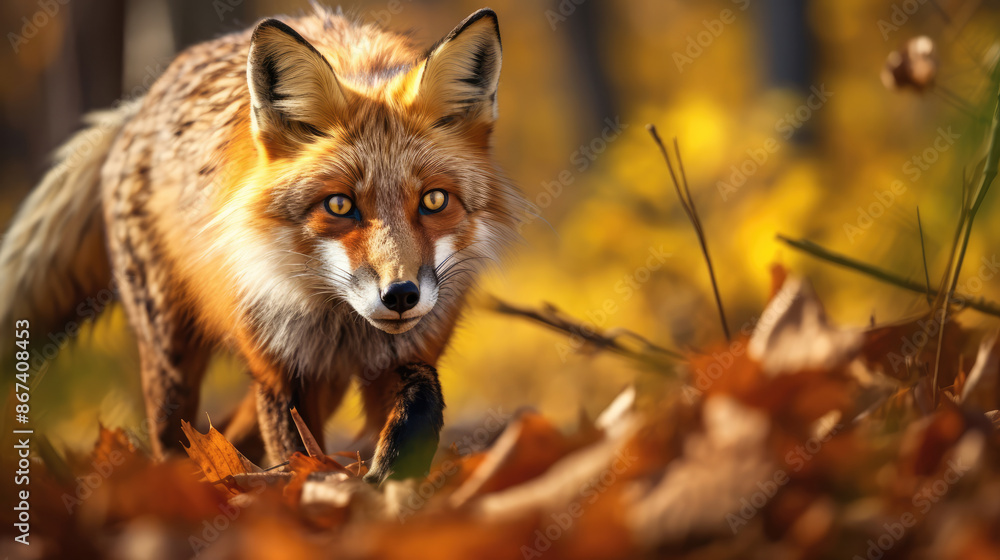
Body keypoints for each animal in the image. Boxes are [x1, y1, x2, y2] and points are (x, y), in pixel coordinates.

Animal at [0, 6, 523, 484]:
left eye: (434, 200)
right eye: (339, 205)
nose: (400, 296)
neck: (342, 327)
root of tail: (138, 106)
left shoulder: (401, 353)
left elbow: (420, 400)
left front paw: (389, 477)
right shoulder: (280, 369)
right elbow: (300, 457)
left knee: (231, 433)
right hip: (172, 356)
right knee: (173, 439)